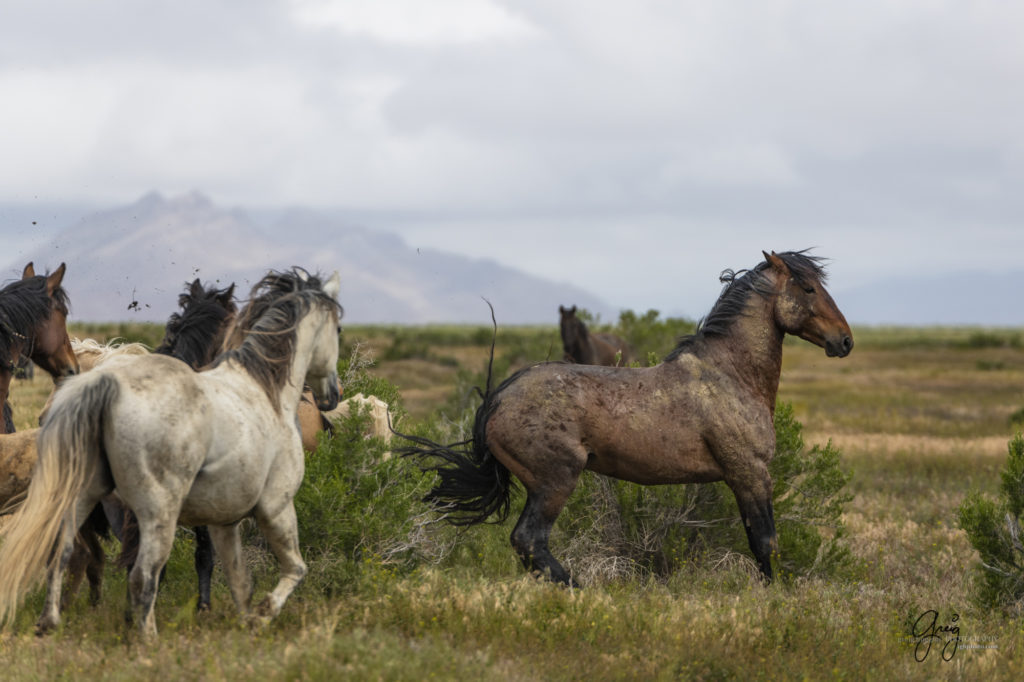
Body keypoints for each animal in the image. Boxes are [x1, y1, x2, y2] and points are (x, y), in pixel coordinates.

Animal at [399, 249, 856, 585]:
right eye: (809, 288)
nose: (845, 341)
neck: (730, 374)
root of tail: (498, 398)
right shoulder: (750, 474)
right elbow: (765, 544)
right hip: (555, 481)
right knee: (529, 540)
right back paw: (580, 588)